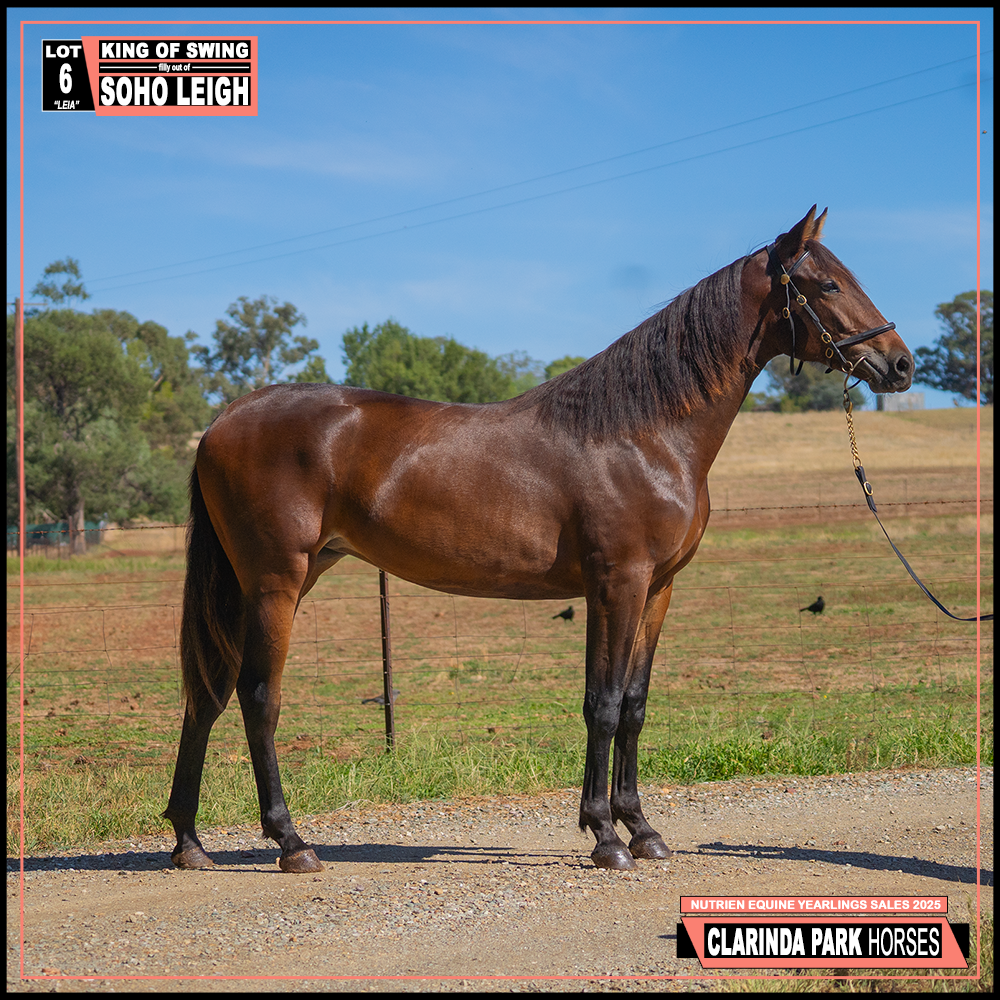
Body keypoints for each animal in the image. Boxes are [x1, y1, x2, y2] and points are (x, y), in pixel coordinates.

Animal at [164, 206, 913, 873]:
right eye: (827, 285)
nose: (901, 364)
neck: (643, 433)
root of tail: (222, 421)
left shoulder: (659, 589)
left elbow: (634, 706)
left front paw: (643, 830)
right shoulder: (617, 583)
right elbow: (601, 706)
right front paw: (605, 836)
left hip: (271, 581)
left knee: (209, 694)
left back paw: (190, 843)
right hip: (276, 581)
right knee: (257, 697)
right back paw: (291, 843)